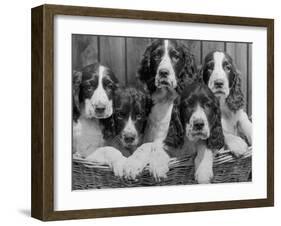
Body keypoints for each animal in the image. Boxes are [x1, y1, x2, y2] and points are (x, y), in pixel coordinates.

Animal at [122, 38, 197, 179]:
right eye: (156, 56)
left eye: (176, 56)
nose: (163, 72)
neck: (165, 99)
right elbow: (146, 146)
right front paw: (132, 164)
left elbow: (156, 146)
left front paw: (157, 164)